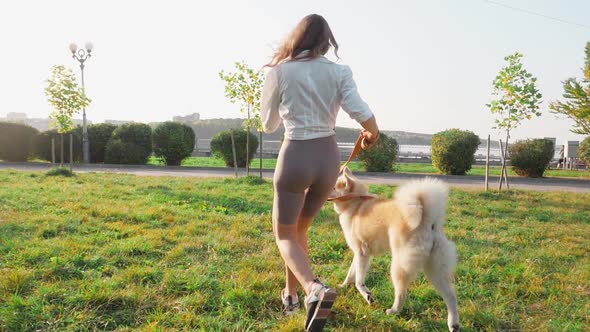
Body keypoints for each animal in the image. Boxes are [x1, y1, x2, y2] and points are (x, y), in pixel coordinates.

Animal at [330, 169, 460, 332]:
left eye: (334, 186)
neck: (356, 202)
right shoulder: (358, 254)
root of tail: (427, 220)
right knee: (451, 297)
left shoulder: (362, 254)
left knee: (401, 294)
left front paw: (367, 295)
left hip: (399, 267)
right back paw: (453, 324)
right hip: (435, 270)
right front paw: (343, 286)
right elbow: (350, 273)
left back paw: (393, 311)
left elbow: (359, 281)